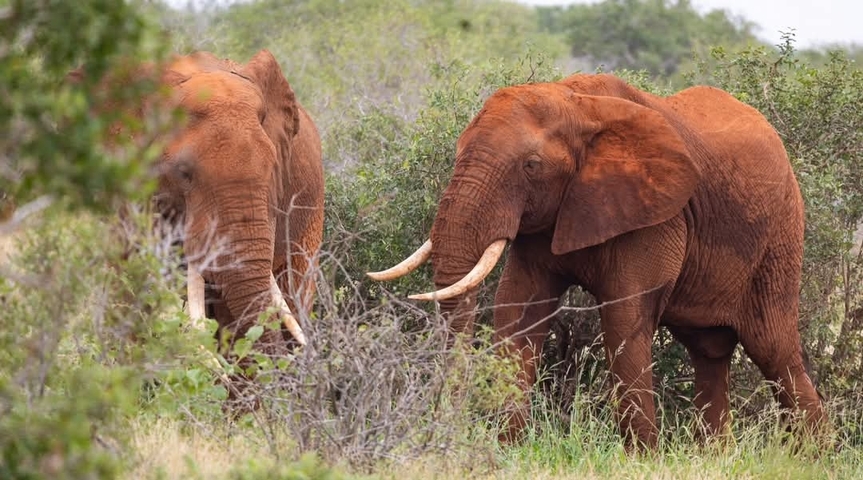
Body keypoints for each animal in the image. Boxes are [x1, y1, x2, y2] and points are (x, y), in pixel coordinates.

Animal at [368, 73, 825, 449]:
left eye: (531, 166)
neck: (576, 103)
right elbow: (518, 309)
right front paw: (504, 449)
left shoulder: (654, 215)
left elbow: (623, 319)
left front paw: (644, 461)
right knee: (710, 353)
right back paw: (714, 455)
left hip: (780, 239)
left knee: (774, 350)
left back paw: (812, 457)